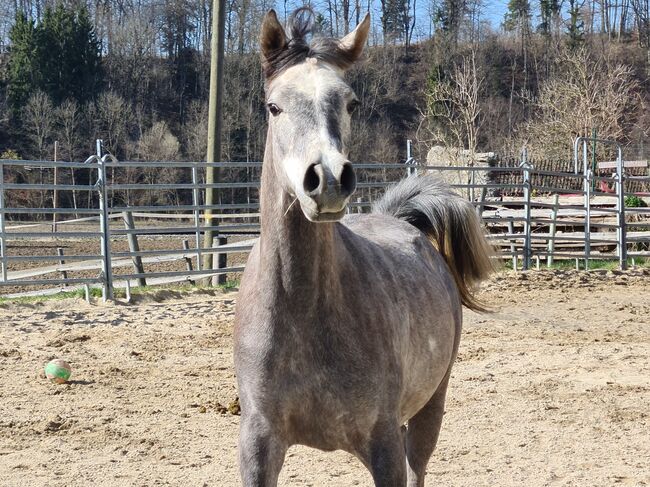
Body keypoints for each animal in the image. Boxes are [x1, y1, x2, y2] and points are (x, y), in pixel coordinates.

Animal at [233, 8, 492, 487]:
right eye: (273, 106)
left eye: (350, 103)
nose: (328, 180)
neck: (304, 313)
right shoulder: (257, 445)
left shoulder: (382, 442)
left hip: (430, 406)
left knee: (418, 465)